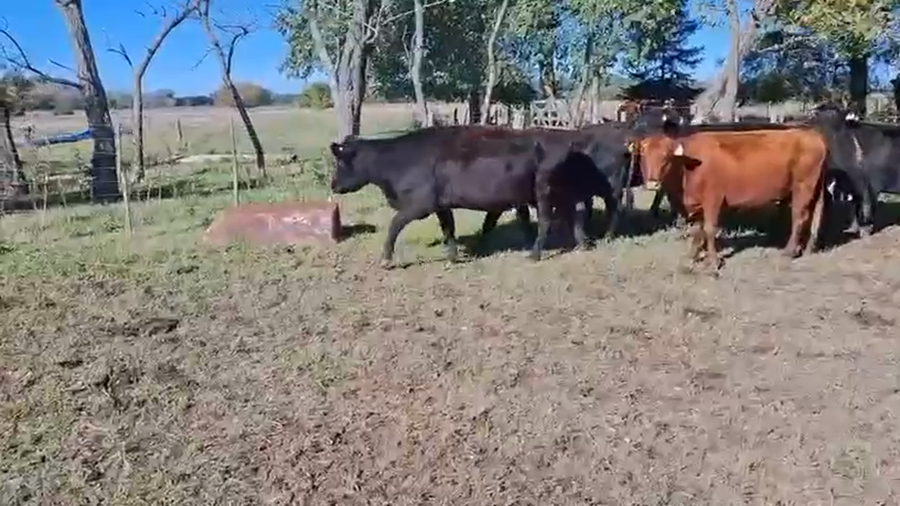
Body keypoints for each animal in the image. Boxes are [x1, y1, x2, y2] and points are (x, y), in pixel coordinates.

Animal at [329, 125, 587, 266]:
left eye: (340, 162)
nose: (333, 185)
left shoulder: (419, 205)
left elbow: (394, 225)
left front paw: (385, 258)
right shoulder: (440, 205)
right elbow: (448, 229)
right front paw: (452, 257)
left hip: (543, 193)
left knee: (546, 222)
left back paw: (535, 254)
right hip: (557, 193)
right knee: (572, 214)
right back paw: (582, 243)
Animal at [637, 128, 829, 271]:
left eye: (666, 157)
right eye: (643, 156)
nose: (653, 183)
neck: (687, 168)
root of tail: (811, 134)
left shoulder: (713, 199)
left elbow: (709, 229)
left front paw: (713, 262)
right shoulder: (698, 206)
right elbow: (697, 231)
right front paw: (692, 256)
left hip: (802, 187)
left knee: (798, 218)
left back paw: (788, 251)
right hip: (813, 190)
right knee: (812, 217)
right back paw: (808, 249)